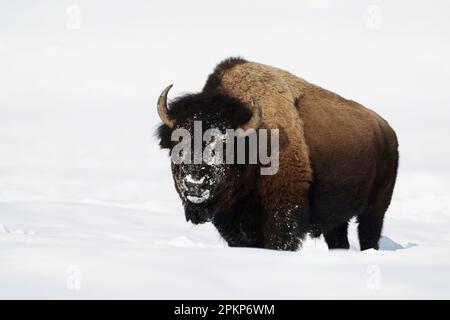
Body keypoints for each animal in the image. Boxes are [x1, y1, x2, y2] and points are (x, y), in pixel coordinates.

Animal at [156, 58, 400, 252]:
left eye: (226, 145)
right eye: (178, 143)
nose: (195, 184)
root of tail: (386, 130)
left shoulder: (283, 216)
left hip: (375, 210)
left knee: (369, 235)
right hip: (337, 220)